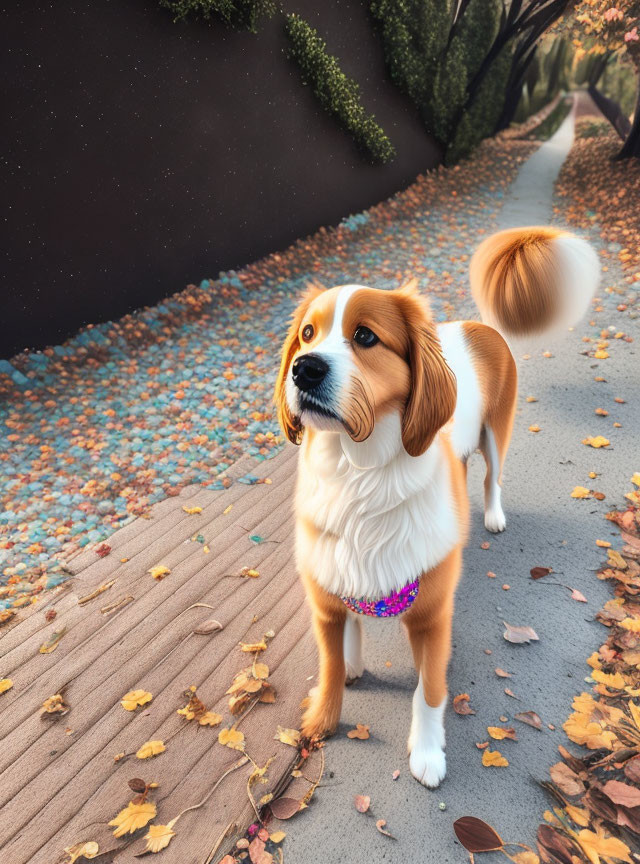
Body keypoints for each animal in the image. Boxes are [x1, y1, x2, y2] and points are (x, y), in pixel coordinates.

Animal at [274, 226, 600, 788]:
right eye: (308, 334)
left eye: (366, 336)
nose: (304, 369)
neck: (359, 476)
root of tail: (479, 324)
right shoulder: (327, 596)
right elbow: (333, 662)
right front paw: (325, 713)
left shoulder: (430, 618)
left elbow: (429, 692)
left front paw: (427, 754)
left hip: (496, 435)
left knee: (491, 478)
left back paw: (491, 515)